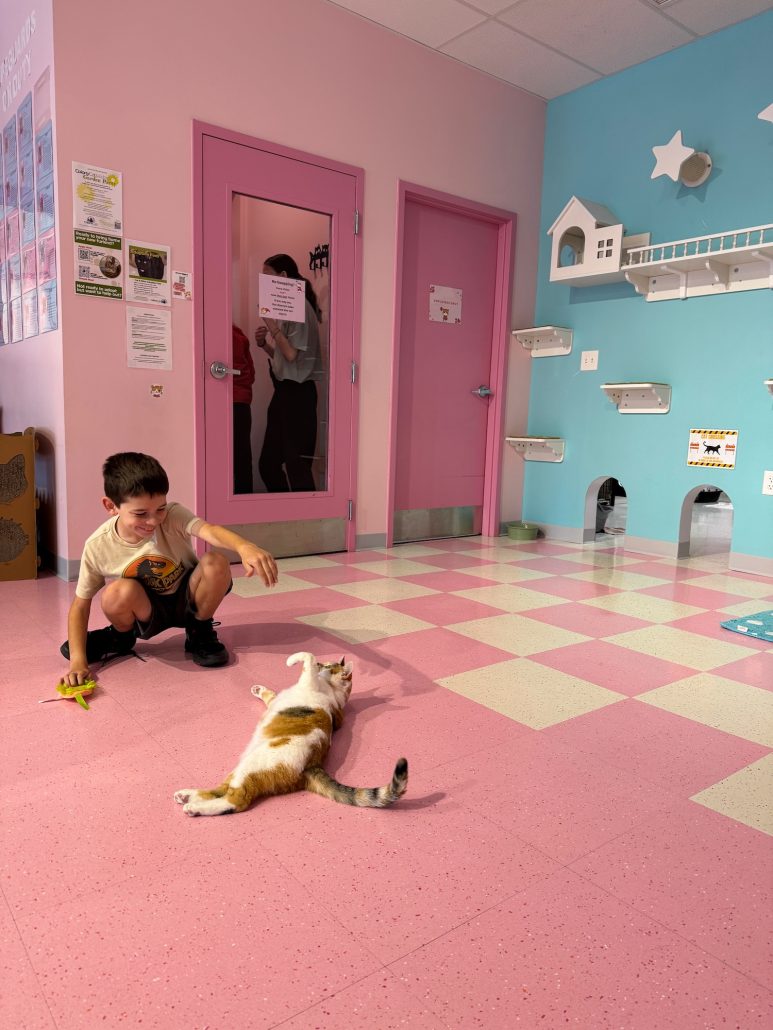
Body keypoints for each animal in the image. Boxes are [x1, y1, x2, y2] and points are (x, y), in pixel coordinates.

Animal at [173, 655, 408, 815]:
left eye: (327, 666)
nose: (321, 663)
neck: (335, 695)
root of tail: (312, 766)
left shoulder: (308, 679)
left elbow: (306, 657)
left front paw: (293, 661)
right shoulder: (277, 699)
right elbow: (270, 694)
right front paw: (258, 689)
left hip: (254, 765)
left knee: (237, 800)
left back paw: (193, 807)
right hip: (243, 766)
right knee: (222, 789)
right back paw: (187, 795)